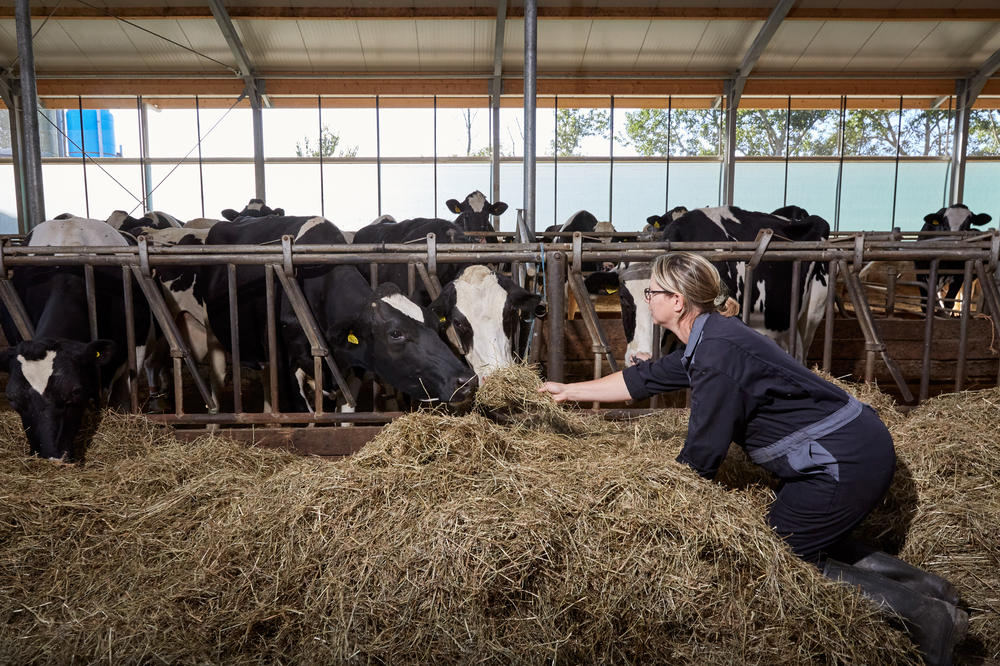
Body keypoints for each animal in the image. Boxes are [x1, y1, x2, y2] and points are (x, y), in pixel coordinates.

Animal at [197, 214, 478, 410]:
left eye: (437, 326)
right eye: (395, 334)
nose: (466, 381)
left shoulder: (353, 366)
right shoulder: (286, 365)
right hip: (212, 333)